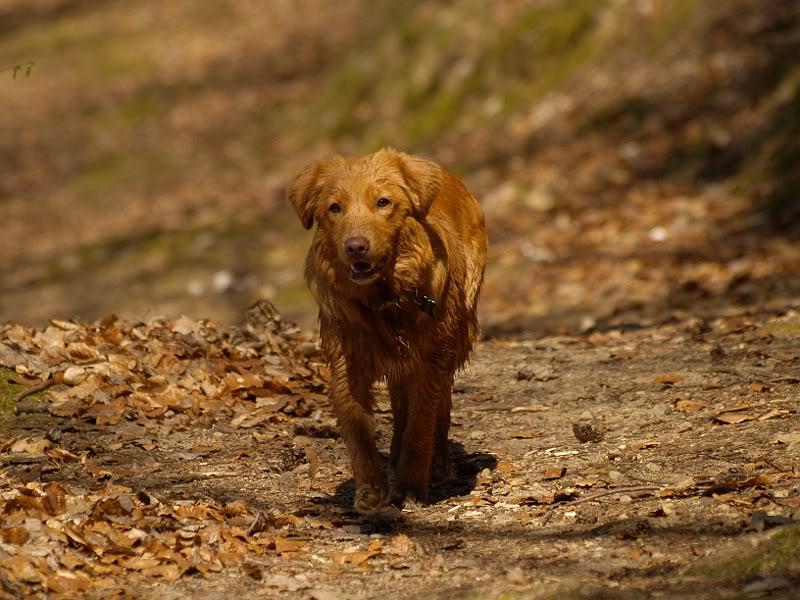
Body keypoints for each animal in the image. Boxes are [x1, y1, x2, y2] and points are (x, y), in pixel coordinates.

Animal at [290, 148, 488, 512]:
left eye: (383, 202)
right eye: (334, 207)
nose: (355, 246)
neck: (383, 300)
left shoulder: (431, 359)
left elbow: (420, 425)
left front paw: (410, 486)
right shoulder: (347, 360)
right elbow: (357, 427)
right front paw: (371, 487)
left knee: (439, 406)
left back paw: (438, 464)